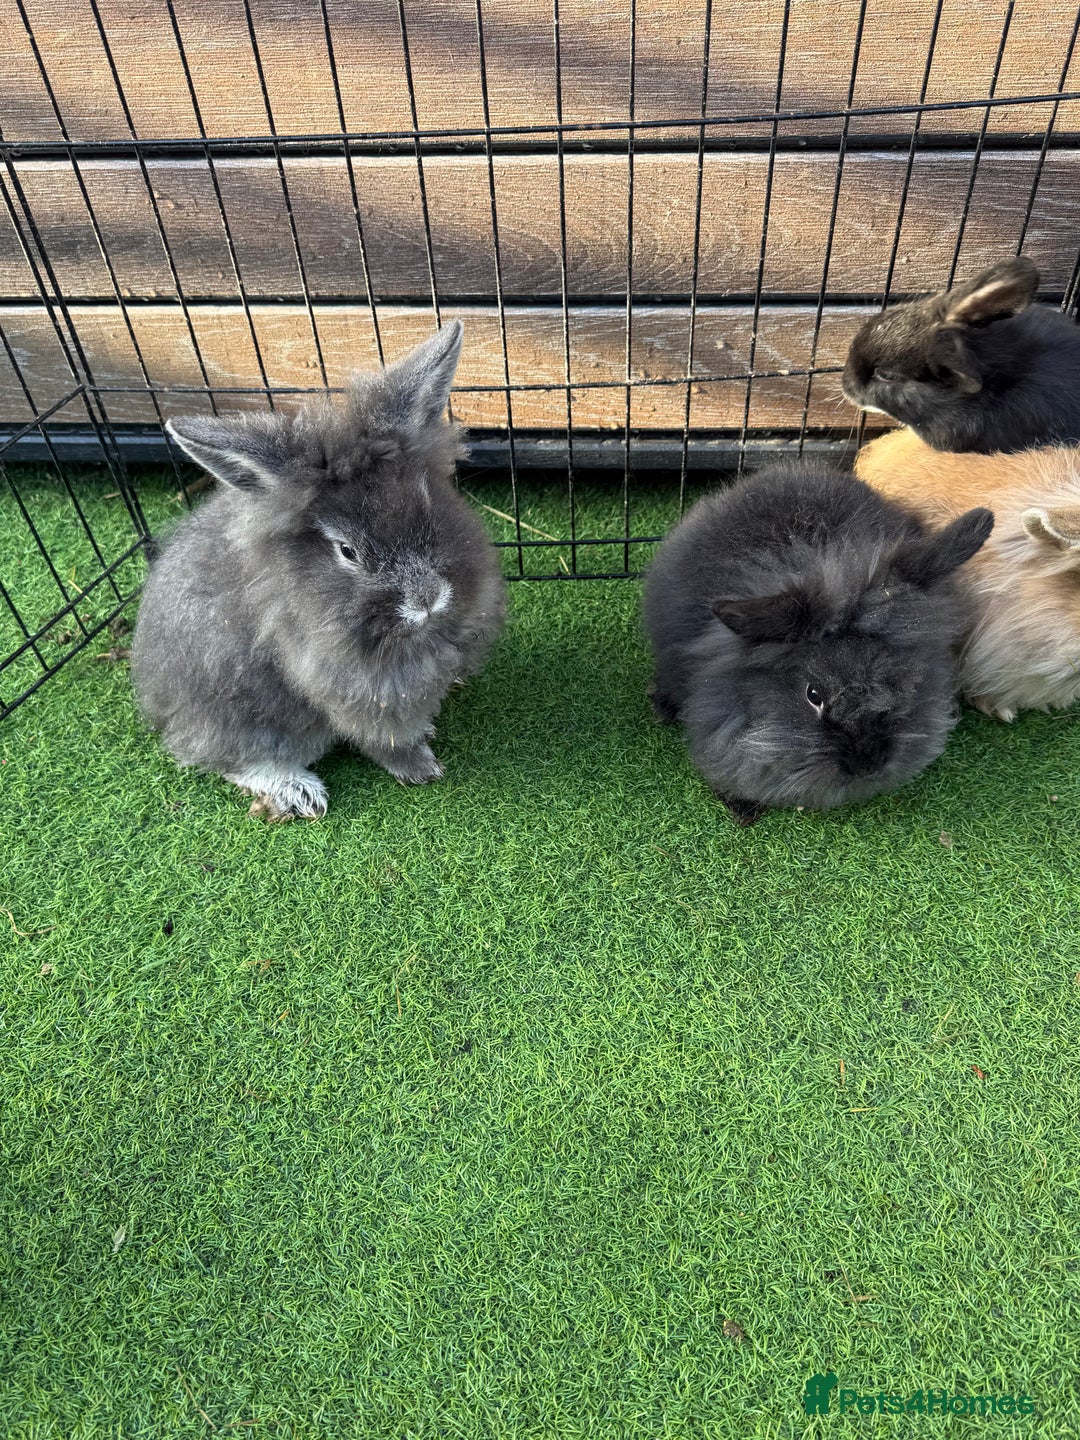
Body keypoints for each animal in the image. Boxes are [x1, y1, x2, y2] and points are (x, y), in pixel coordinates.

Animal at [131, 321, 507, 820]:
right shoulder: (354, 688)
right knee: (220, 757)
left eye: (427, 504)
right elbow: (385, 738)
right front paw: (420, 768)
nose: (428, 599)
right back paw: (299, 792)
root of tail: (155, 697)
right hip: (236, 716)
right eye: (347, 550)